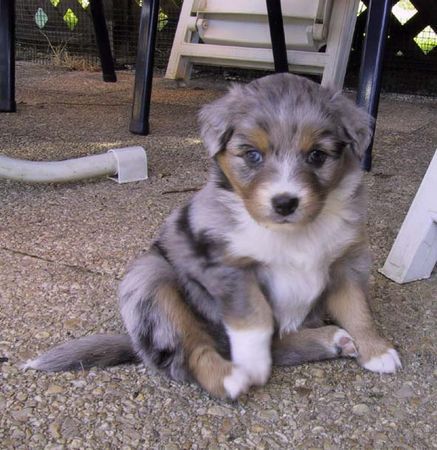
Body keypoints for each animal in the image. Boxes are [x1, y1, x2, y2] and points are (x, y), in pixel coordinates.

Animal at [23, 74, 398, 400]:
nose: (285, 202)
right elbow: (255, 317)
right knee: (192, 350)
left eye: (317, 155)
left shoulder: (346, 262)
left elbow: (358, 309)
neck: (292, 233)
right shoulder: (227, 266)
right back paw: (229, 377)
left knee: (275, 344)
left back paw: (334, 340)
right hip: (150, 278)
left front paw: (377, 350)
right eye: (253, 155)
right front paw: (252, 365)